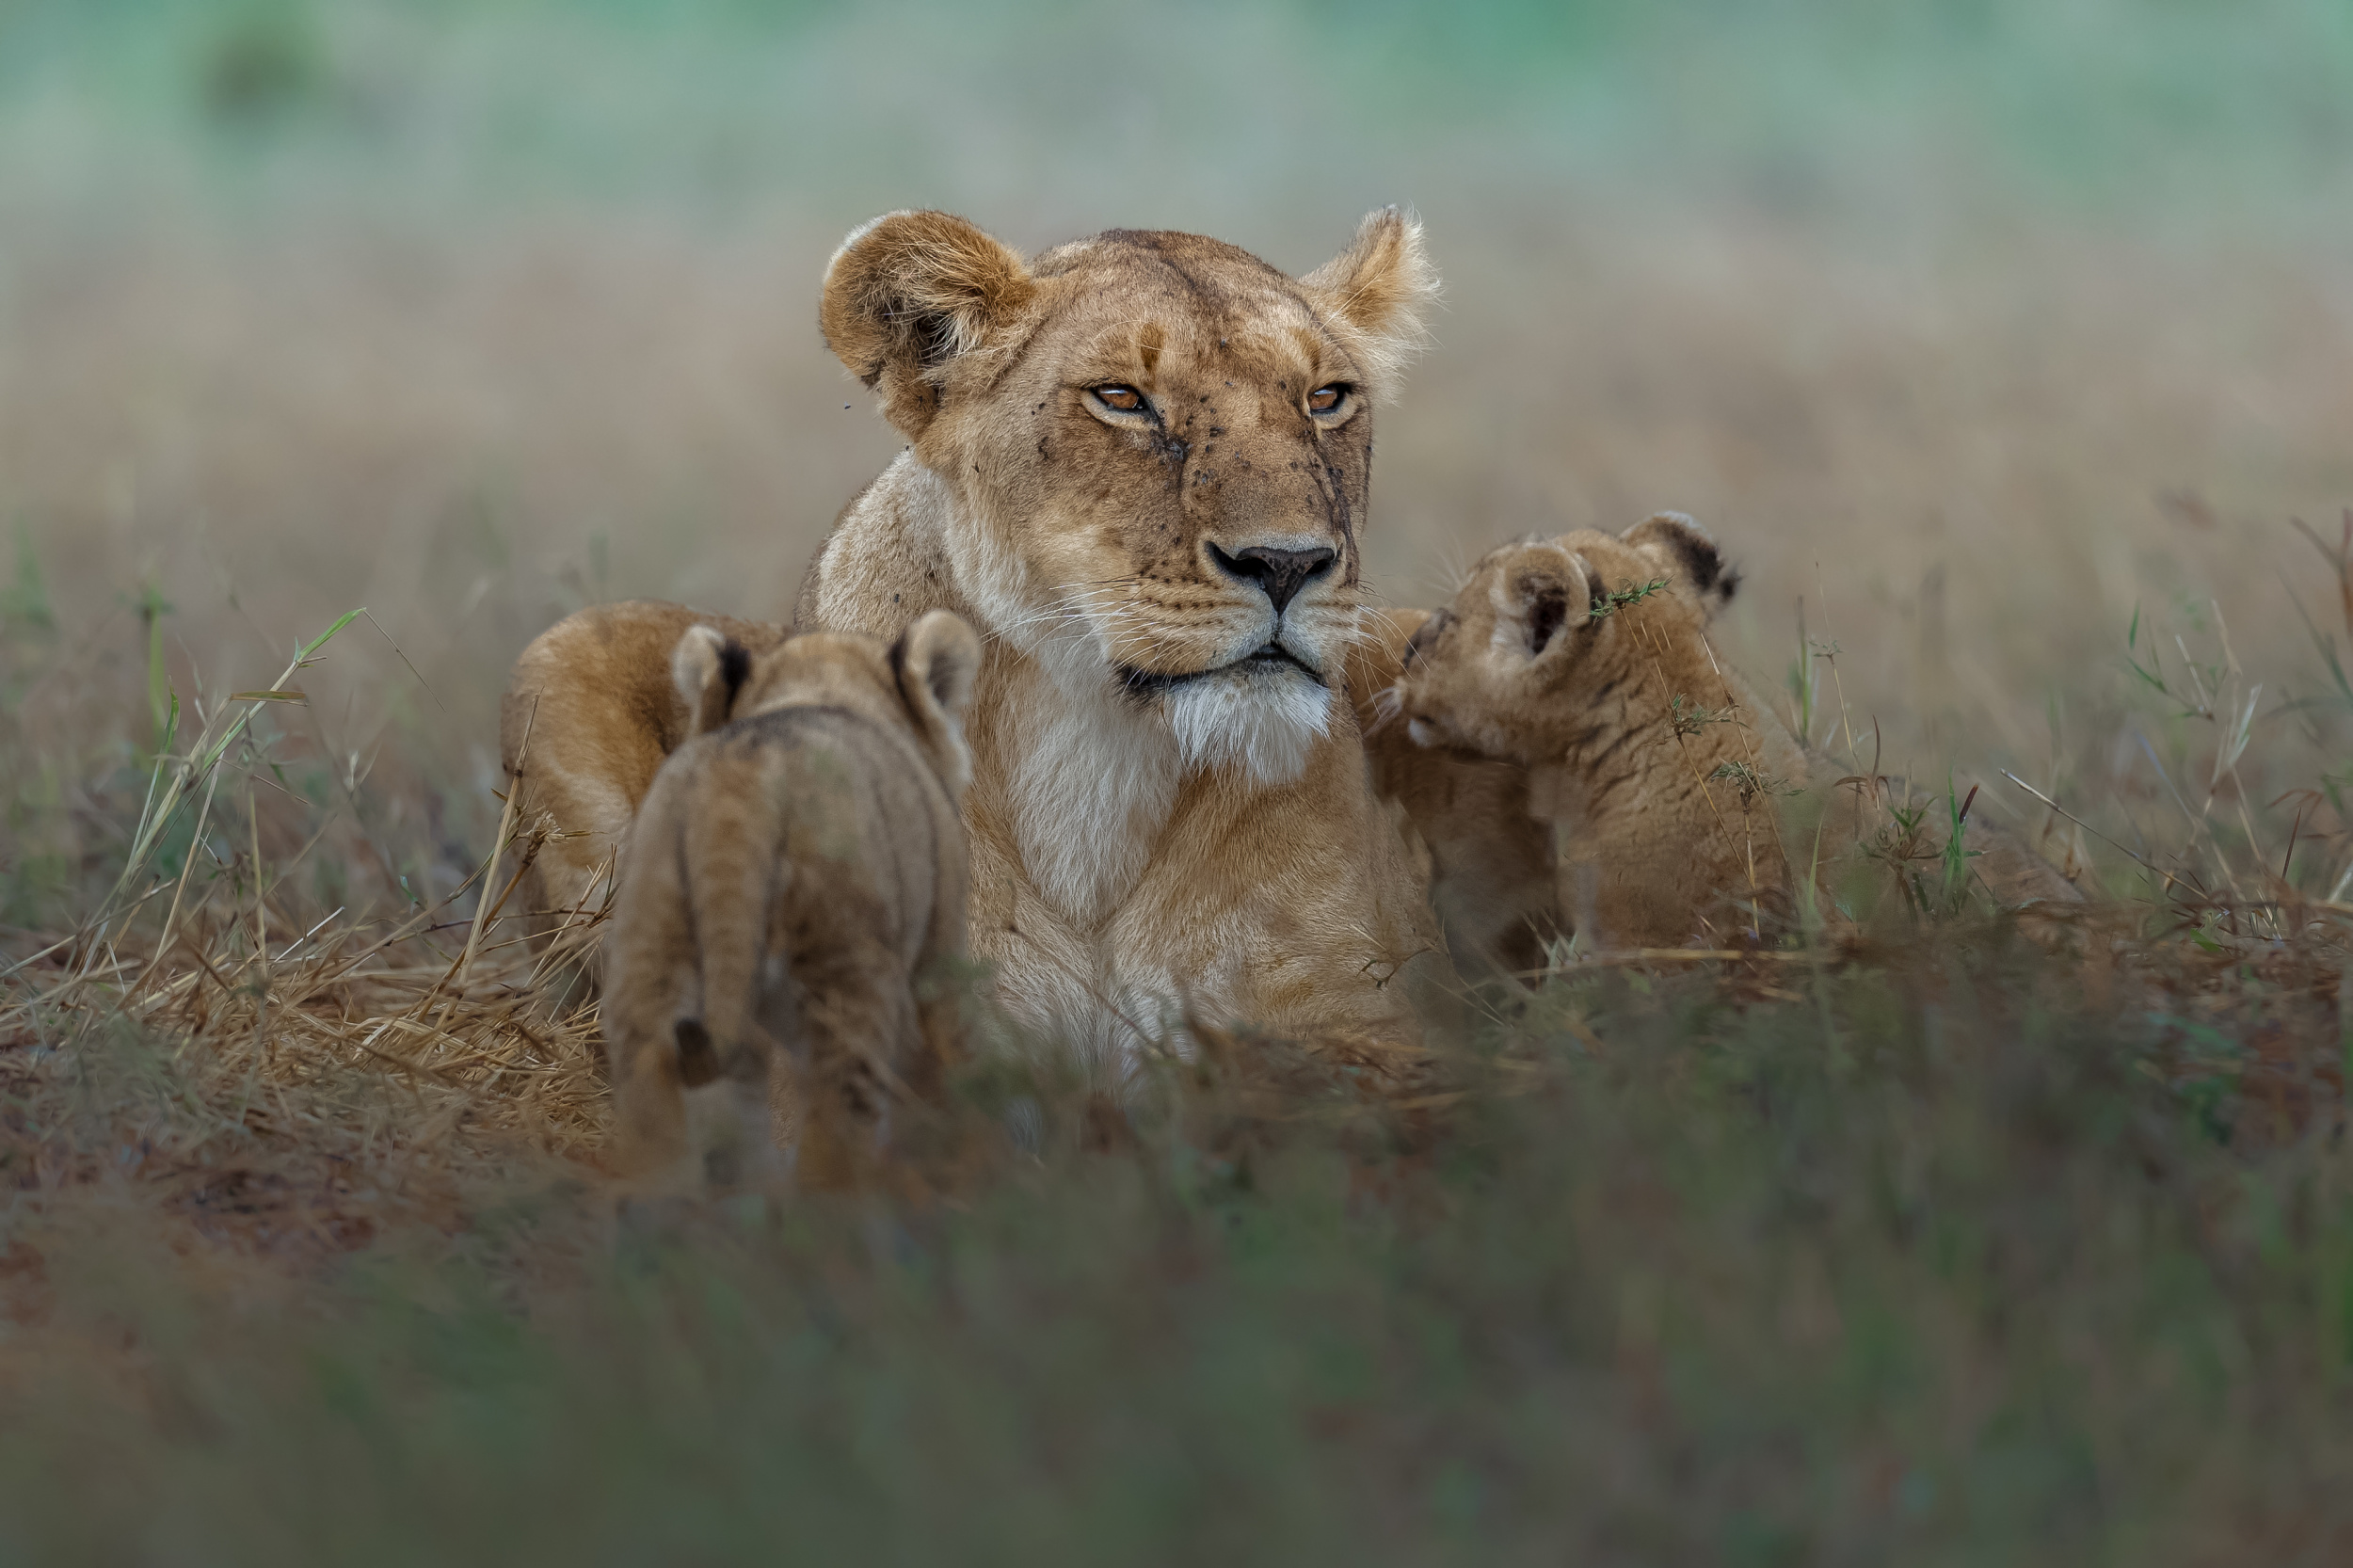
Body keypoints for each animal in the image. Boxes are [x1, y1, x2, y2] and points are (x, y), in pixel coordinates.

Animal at [600, 610, 979, 1194]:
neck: (817, 685)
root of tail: (740, 784)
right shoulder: (938, 962)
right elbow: (947, 1078)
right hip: (848, 972)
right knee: (832, 1145)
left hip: (649, 958)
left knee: (656, 1115)